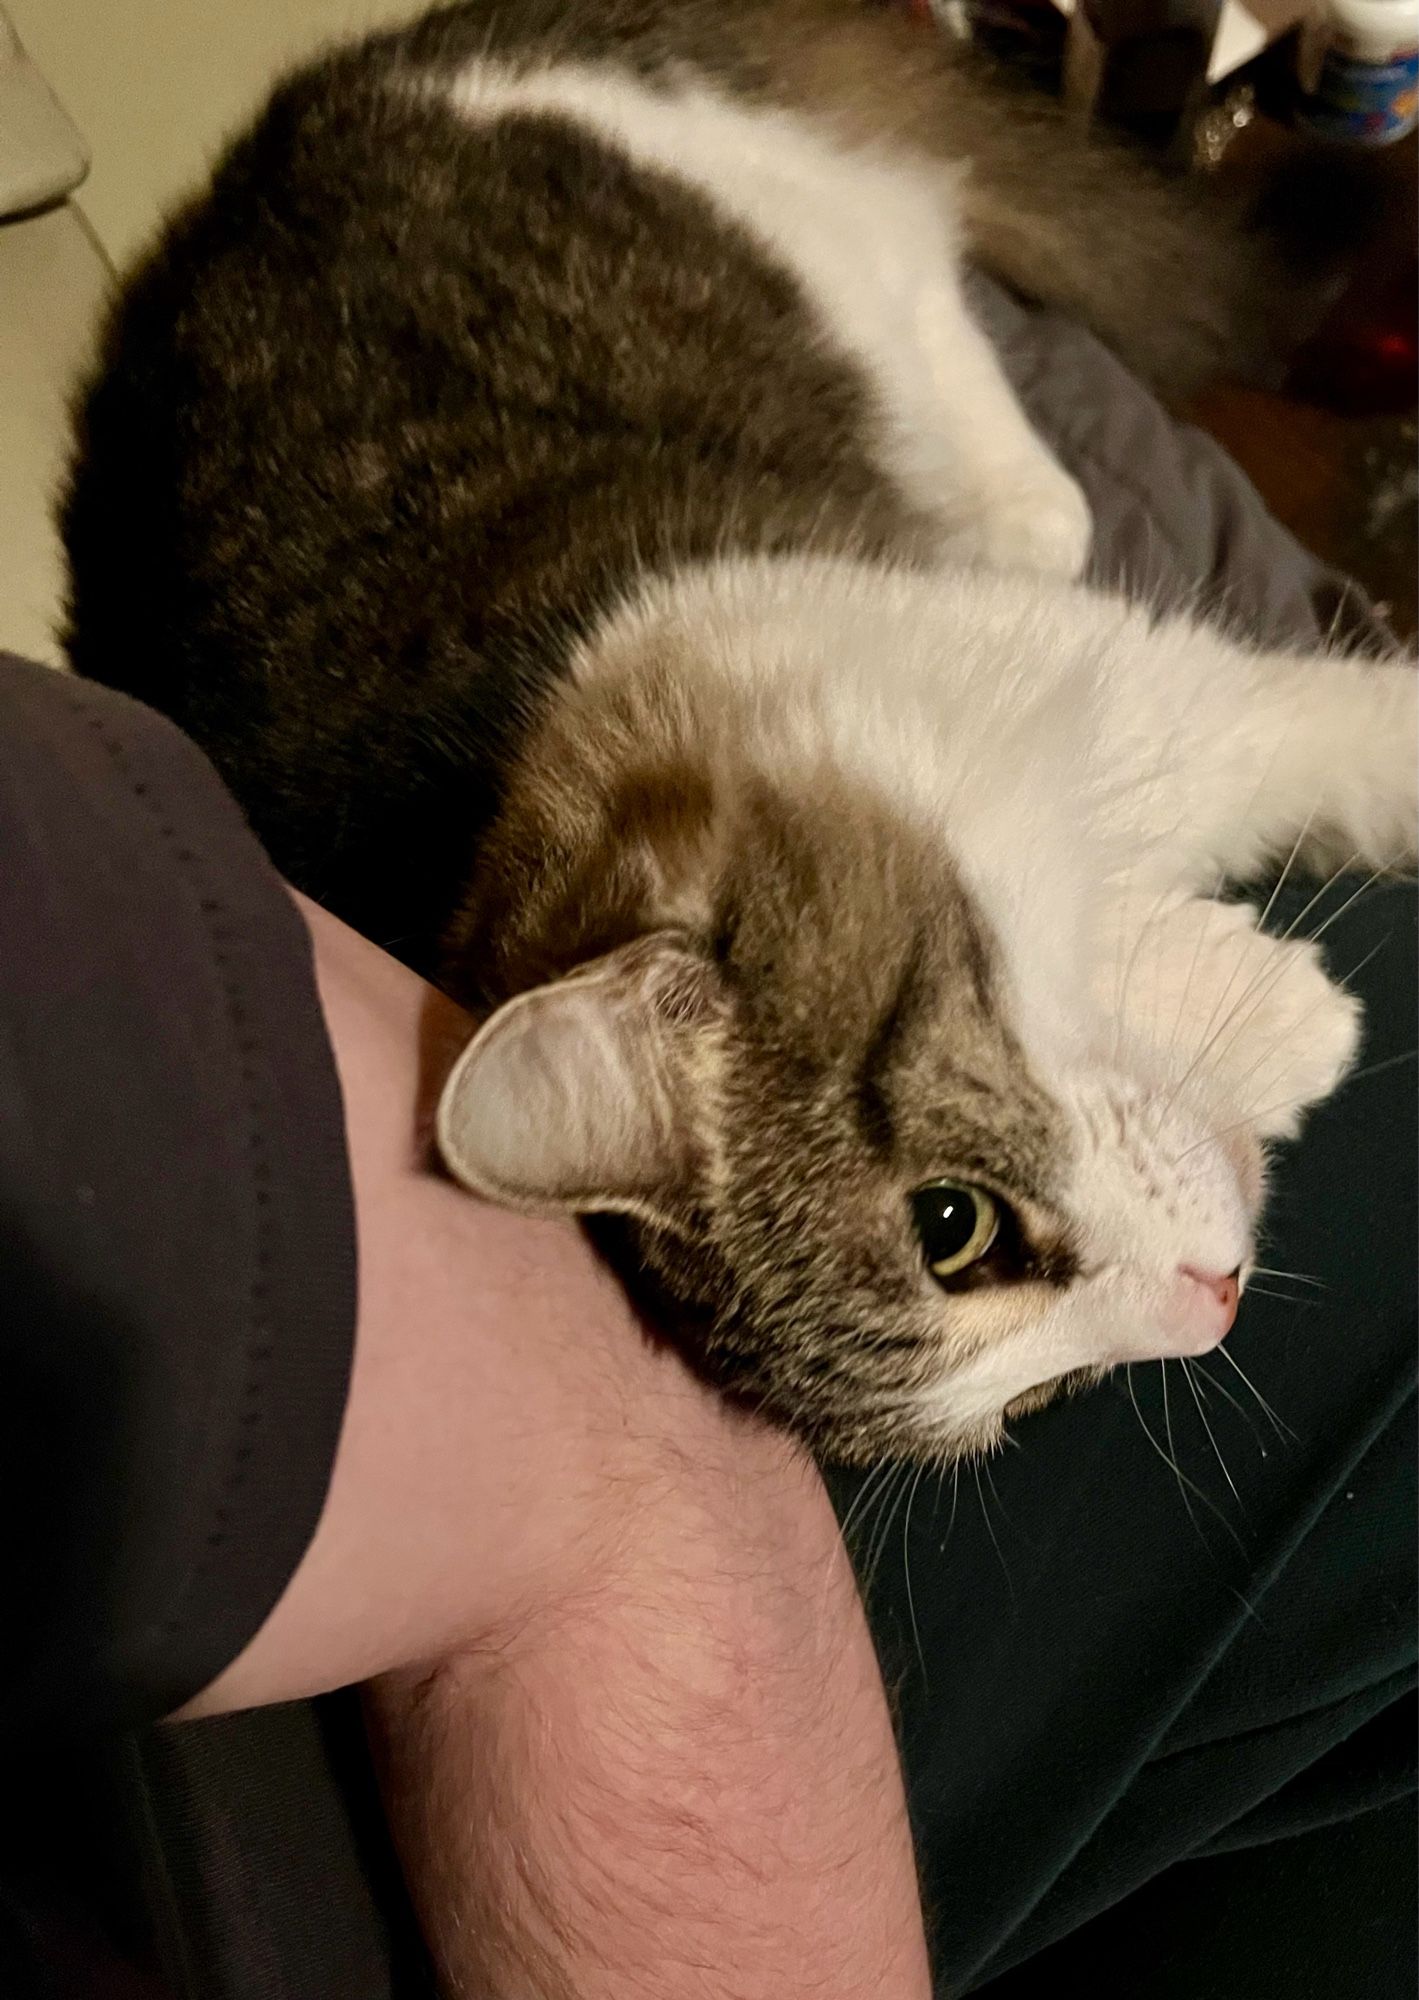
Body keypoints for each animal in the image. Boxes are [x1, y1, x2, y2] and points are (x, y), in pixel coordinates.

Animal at [58, 0, 1419, 1472]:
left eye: (954, 1225)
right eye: (1033, 1397)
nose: (1214, 1301)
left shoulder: (1114, 694)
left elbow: (1338, 747)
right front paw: (1278, 1011)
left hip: (785, 225)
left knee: (937, 268)